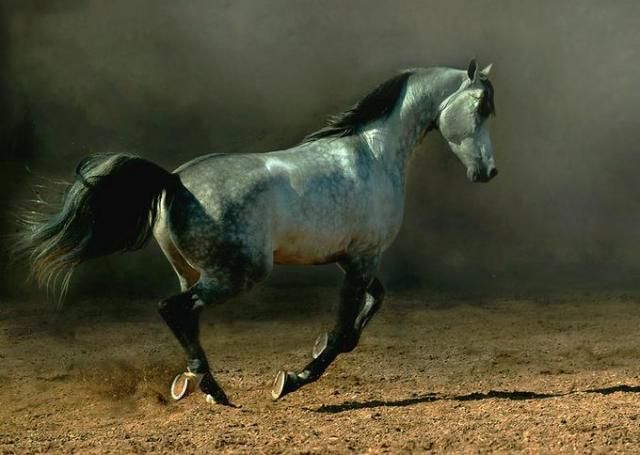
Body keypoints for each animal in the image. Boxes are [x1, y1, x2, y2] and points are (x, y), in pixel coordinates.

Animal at [16, 59, 497, 405]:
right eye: (479, 108)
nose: (487, 171)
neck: (373, 154)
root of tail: (174, 181)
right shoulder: (363, 257)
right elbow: (344, 329)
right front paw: (292, 379)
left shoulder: (352, 259)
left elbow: (372, 304)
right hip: (238, 274)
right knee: (173, 309)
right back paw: (213, 389)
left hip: (192, 272)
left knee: (186, 315)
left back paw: (192, 383)